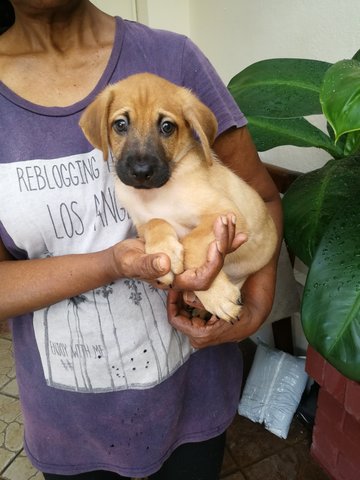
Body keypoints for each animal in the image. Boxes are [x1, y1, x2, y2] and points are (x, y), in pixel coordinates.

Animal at [80, 73, 278, 320]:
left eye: (167, 127)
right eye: (120, 125)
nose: (141, 172)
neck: (155, 193)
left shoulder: (225, 213)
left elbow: (191, 242)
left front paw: (217, 294)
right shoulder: (141, 225)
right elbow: (155, 222)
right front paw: (164, 248)